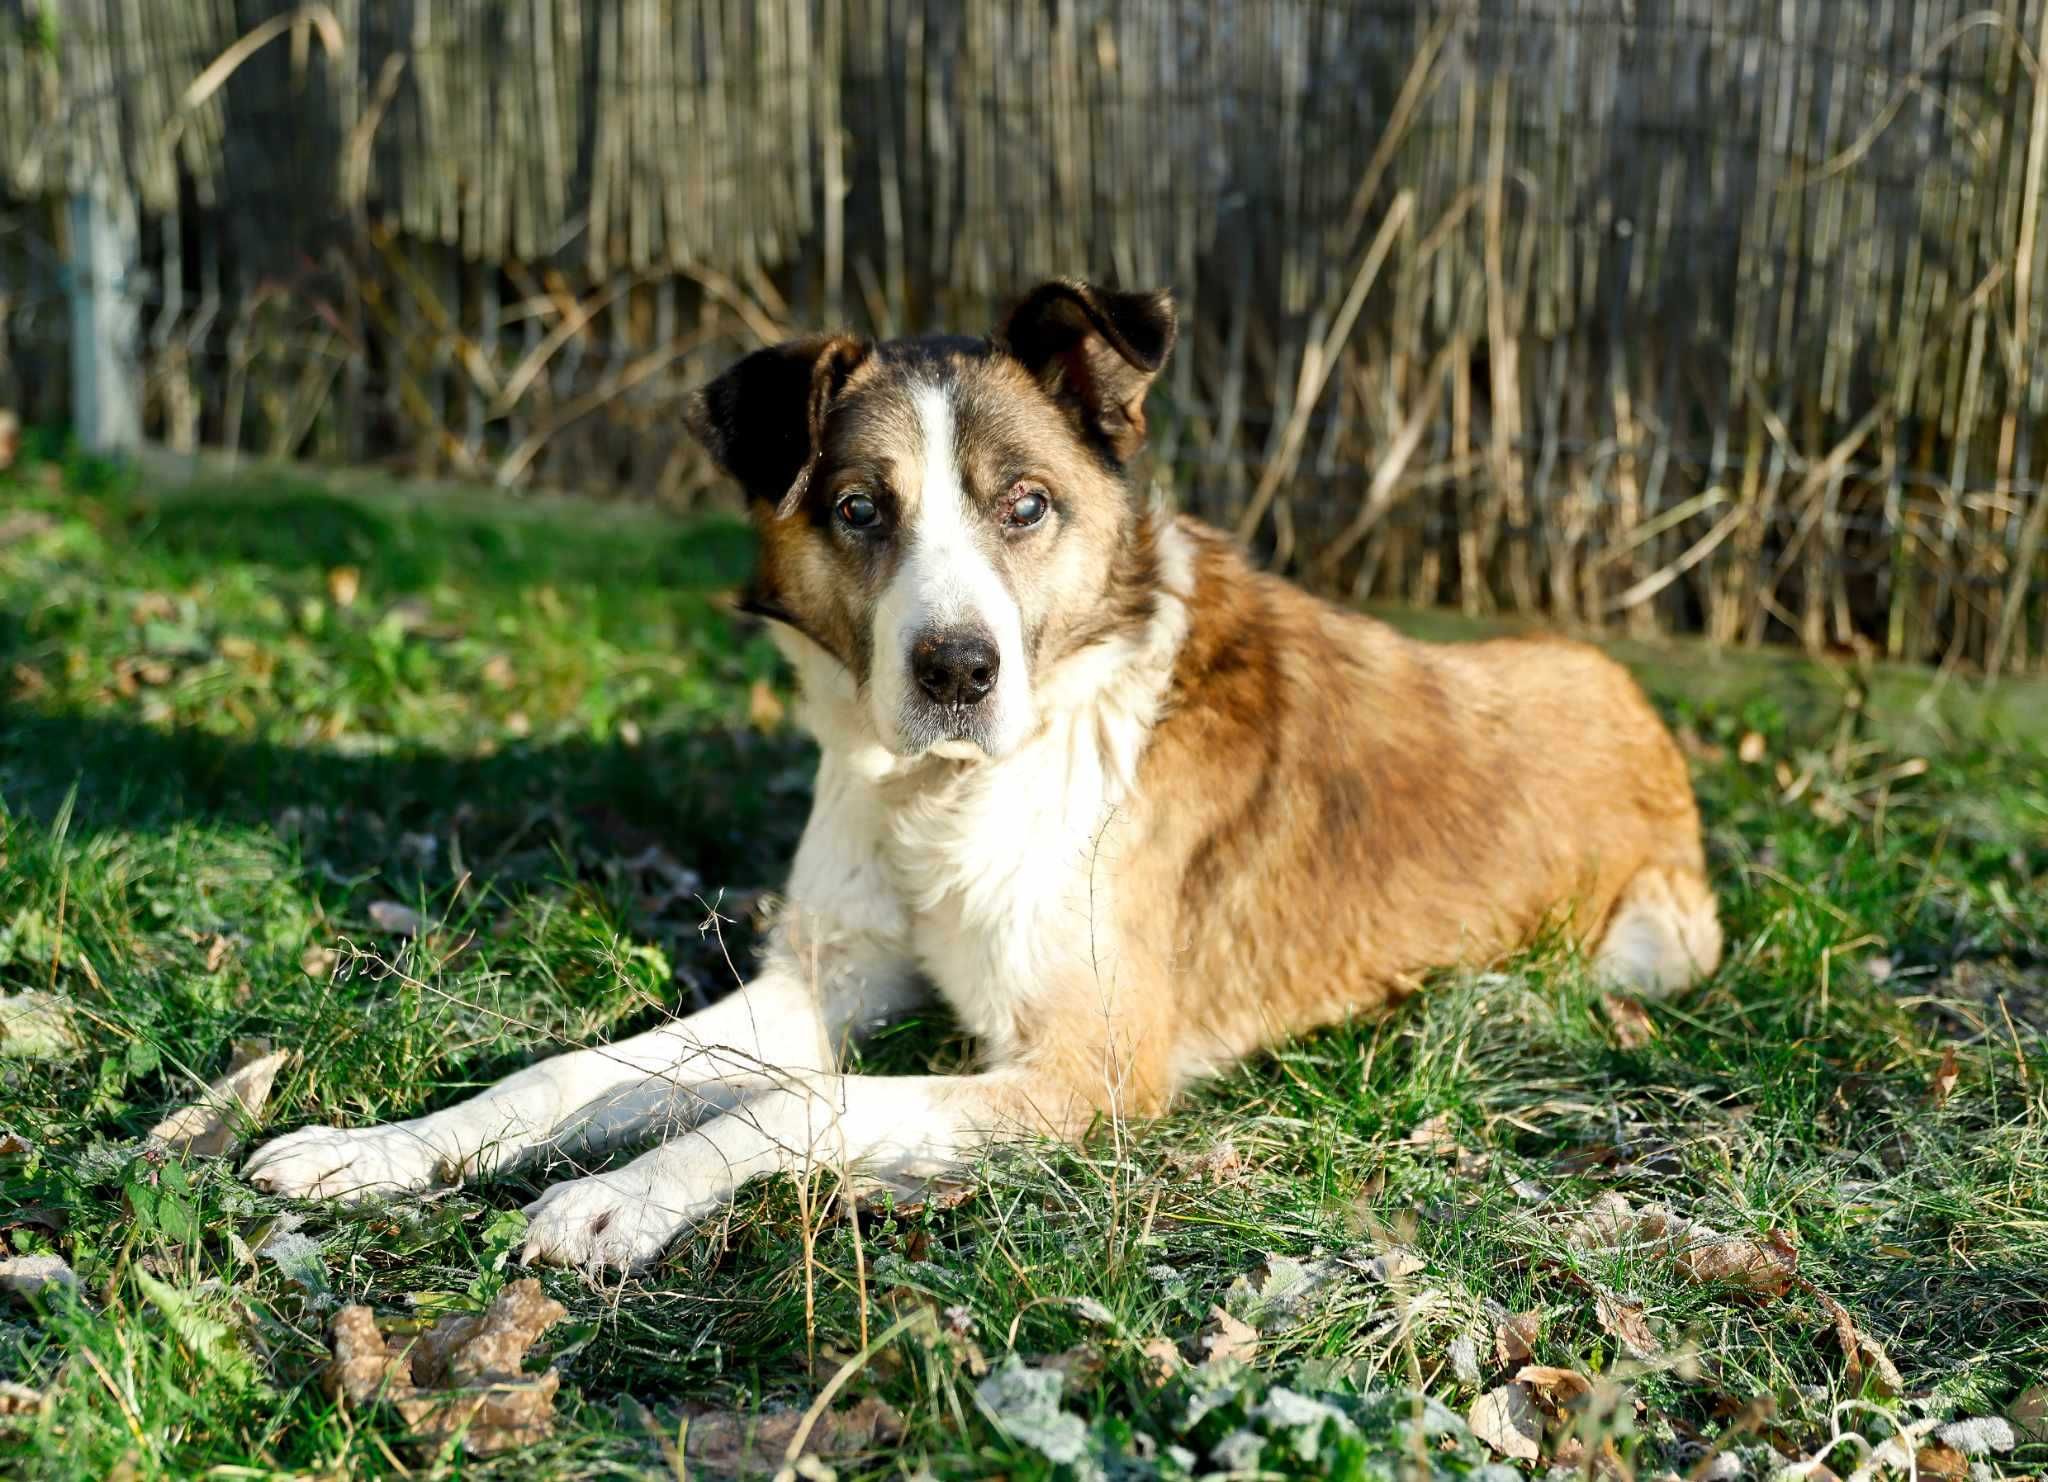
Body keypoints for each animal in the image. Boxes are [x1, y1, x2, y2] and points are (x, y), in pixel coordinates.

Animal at [243, 280, 1728, 1277]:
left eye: (1027, 506)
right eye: (859, 509)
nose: (958, 666)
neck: (954, 792)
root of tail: (1642, 707)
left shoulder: (1080, 1070)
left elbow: (806, 1103)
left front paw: (622, 1199)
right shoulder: (819, 986)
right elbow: (564, 1074)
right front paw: (376, 1150)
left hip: (1651, 943)